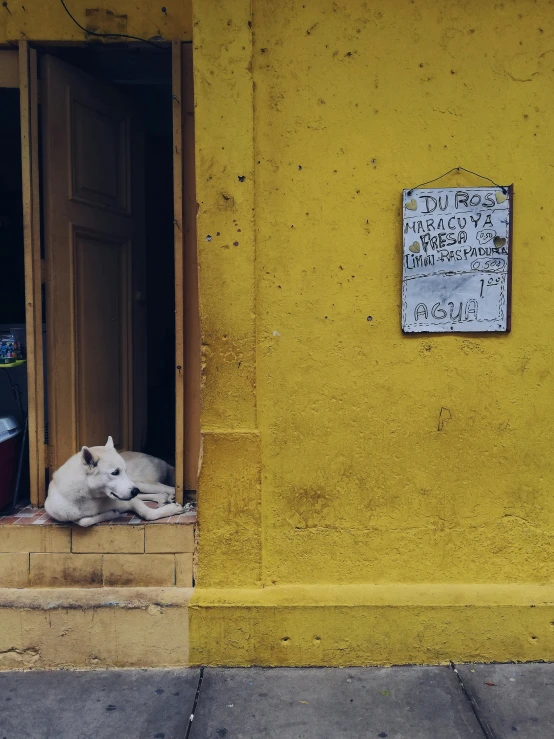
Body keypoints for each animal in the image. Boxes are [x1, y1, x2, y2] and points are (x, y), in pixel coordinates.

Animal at [45, 436, 188, 528]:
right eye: (115, 472)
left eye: (124, 470)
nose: (134, 491)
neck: (89, 498)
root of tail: (163, 461)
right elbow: (83, 522)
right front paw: (111, 514)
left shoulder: (131, 501)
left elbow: (147, 513)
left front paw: (172, 509)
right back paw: (162, 498)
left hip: (140, 483)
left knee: (168, 489)